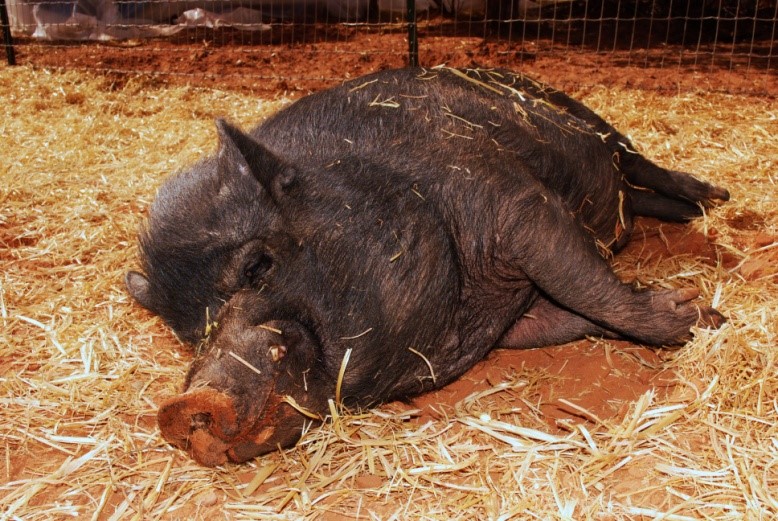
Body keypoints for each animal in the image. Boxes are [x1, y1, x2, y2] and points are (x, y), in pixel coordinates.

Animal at [126, 67, 729, 466]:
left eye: (256, 267)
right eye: (188, 335)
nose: (179, 408)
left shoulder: (515, 206)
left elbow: (584, 282)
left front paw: (705, 319)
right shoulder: (517, 325)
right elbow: (576, 314)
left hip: (584, 117)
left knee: (636, 160)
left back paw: (713, 198)